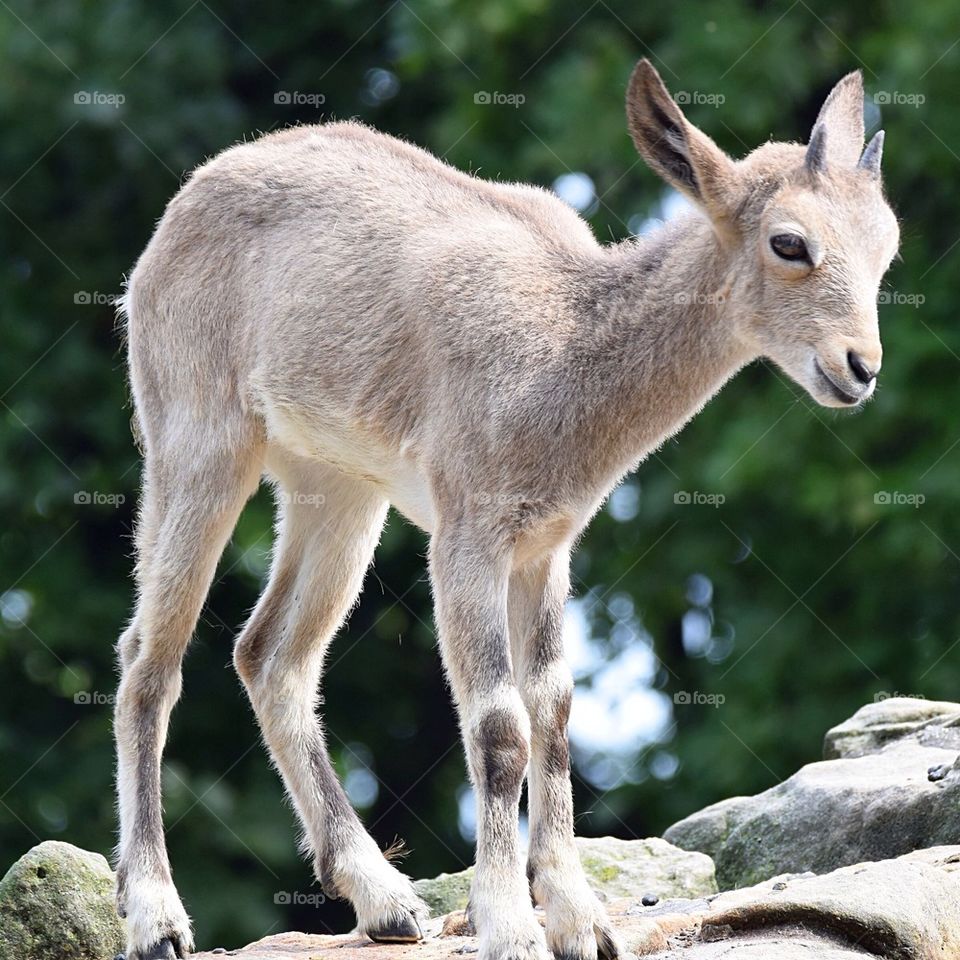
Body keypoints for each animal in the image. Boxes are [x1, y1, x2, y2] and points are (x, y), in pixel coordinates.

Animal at [114, 62, 900, 960]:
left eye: (886, 246)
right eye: (789, 242)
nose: (859, 367)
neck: (564, 345)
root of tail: (173, 219)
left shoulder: (546, 547)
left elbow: (553, 713)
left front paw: (582, 920)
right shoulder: (469, 534)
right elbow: (499, 727)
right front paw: (510, 924)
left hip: (339, 487)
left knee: (270, 653)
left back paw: (384, 902)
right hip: (198, 442)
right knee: (149, 659)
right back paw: (156, 916)